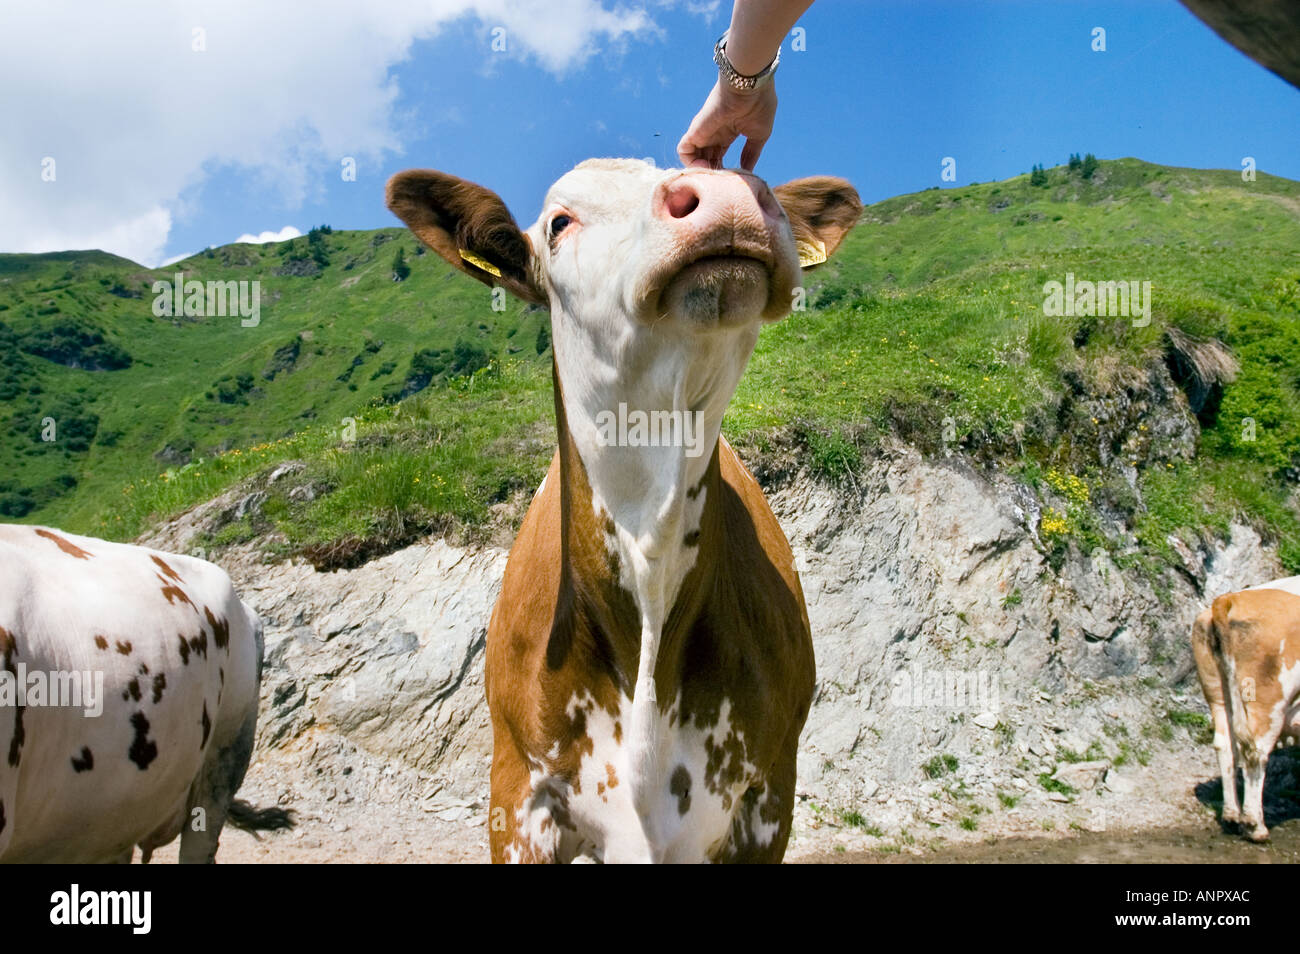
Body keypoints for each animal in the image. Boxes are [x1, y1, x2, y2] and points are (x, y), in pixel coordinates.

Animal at [1192, 574, 1300, 841]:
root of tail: (1231, 599)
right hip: (1268, 702)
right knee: (1255, 752)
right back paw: (1254, 825)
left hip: (1218, 693)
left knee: (1225, 745)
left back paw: (1232, 816)